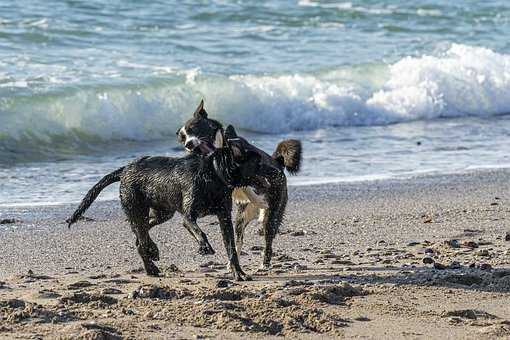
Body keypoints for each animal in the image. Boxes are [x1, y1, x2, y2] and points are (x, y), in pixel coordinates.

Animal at [65, 135, 260, 282]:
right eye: (257, 160)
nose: (270, 169)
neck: (212, 175)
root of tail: (125, 170)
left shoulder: (224, 217)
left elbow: (231, 248)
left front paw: (238, 273)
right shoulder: (188, 216)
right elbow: (198, 230)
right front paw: (205, 246)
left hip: (162, 213)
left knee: (140, 237)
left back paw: (151, 263)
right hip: (137, 208)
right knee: (141, 236)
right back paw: (152, 255)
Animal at [176, 101, 300, 268]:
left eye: (193, 128)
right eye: (182, 138)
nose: (188, 144)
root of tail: (278, 162)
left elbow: (250, 184)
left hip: (273, 214)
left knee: (268, 237)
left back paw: (265, 262)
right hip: (241, 218)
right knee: (239, 240)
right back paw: (232, 263)